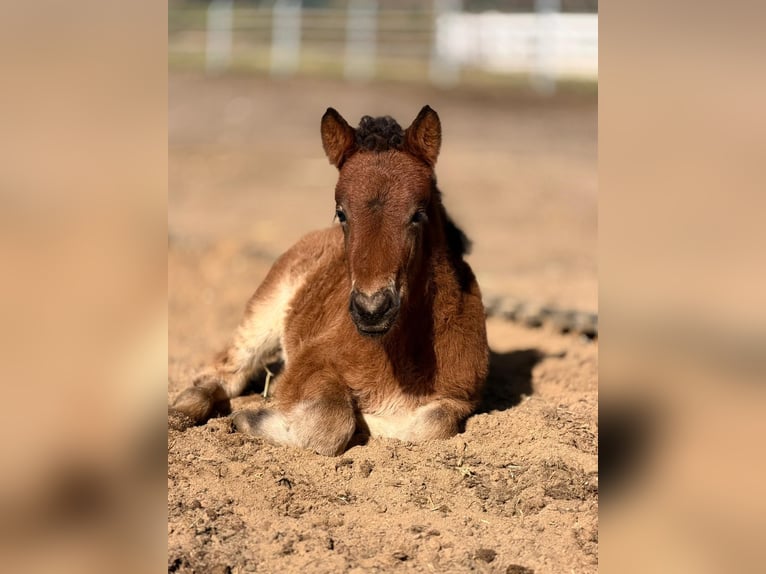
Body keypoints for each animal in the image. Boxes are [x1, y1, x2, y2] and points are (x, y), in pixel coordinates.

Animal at [171, 105, 489, 456]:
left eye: (418, 214)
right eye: (341, 213)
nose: (372, 310)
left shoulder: (461, 396)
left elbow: (432, 424)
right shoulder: (313, 362)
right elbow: (330, 420)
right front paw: (251, 418)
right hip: (264, 308)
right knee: (227, 370)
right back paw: (183, 412)